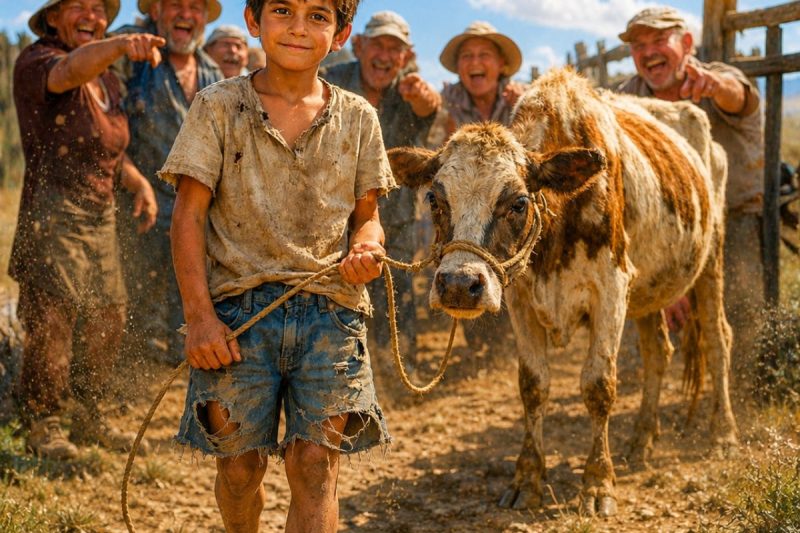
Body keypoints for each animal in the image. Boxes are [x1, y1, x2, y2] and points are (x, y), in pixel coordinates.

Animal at [387, 67, 738, 517]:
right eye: (433, 198)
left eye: (518, 202)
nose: (459, 286)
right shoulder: (520, 299)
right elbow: (533, 386)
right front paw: (527, 478)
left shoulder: (611, 289)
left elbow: (599, 386)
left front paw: (597, 482)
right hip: (649, 287)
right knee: (658, 351)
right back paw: (641, 438)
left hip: (711, 261)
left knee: (717, 339)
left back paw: (723, 432)